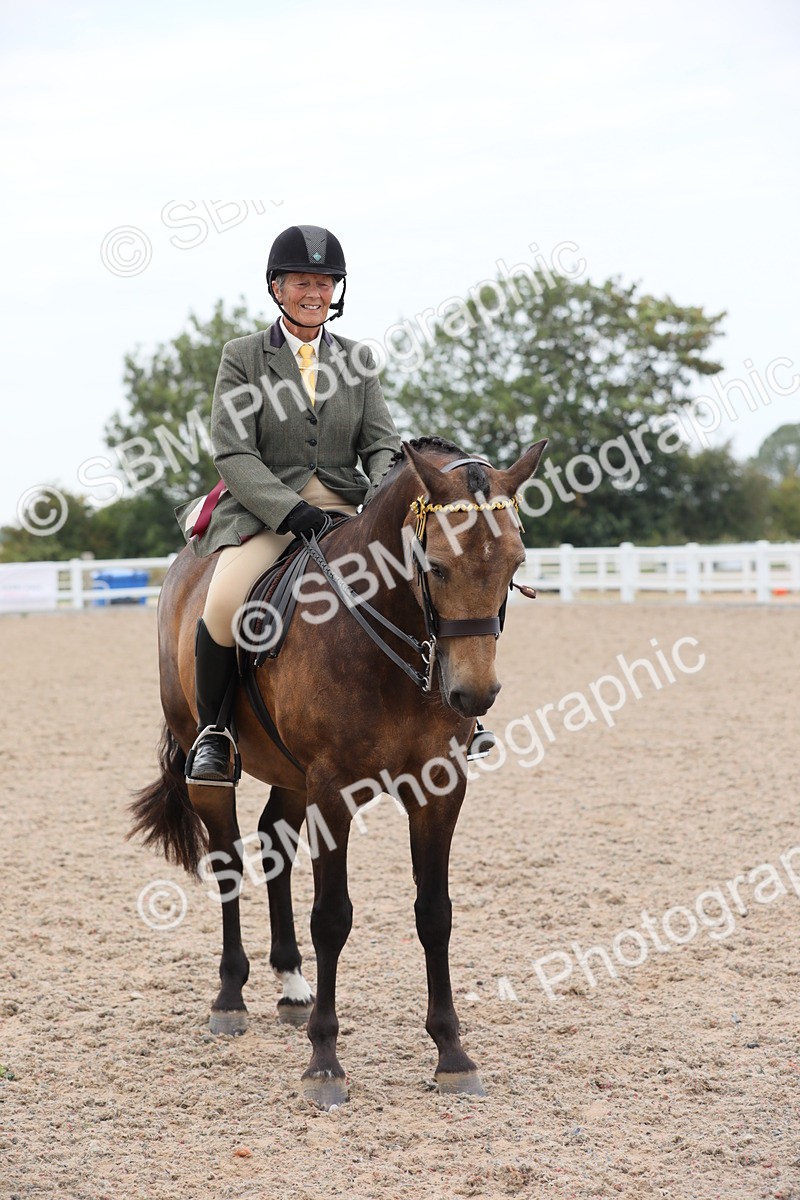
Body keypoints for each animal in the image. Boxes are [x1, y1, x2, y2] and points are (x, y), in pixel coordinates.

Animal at [129, 435, 547, 1108]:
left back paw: (292, 984)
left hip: (291, 775)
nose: (473, 696)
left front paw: (452, 1054)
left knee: (274, 843)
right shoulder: (332, 789)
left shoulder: (439, 787)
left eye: (515, 563)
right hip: (211, 759)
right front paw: (325, 1061)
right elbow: (332, 917)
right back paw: (231, 997)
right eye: (436, 567)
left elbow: (435, 912)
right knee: (227, 859)